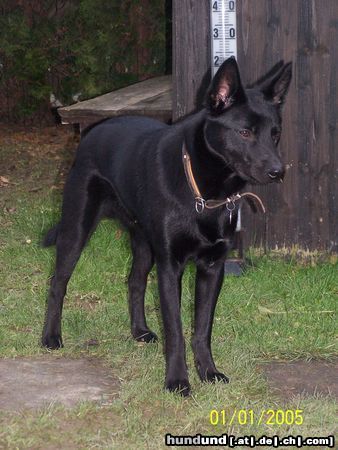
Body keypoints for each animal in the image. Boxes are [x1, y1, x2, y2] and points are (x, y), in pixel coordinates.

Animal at [41, 58, 290, 396]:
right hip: (76, 228)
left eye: (275, 133)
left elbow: (202, 328)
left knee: (134, 281)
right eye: (244, 132)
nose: (279, 172)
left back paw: (140, 331)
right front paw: (177, 381)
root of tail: (95, 130)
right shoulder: (171, 267)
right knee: (58, 282)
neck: (203, 192)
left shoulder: (212, 267)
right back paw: (51, 337)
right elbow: (176, 331)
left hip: (144, 243)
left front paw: (208, 372)